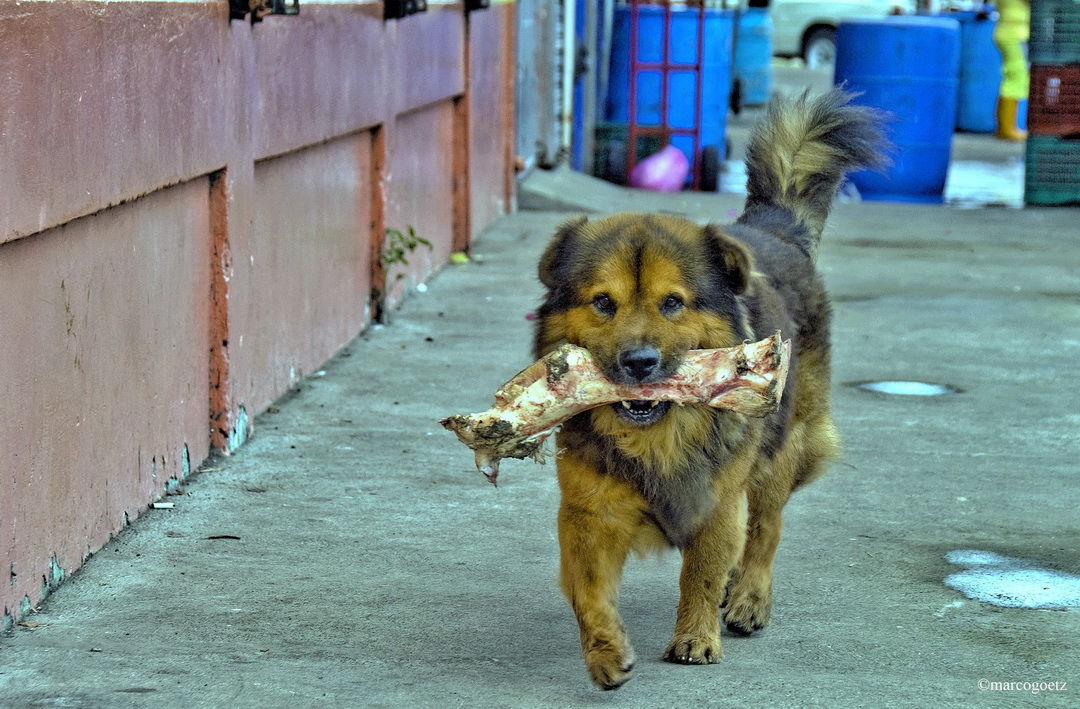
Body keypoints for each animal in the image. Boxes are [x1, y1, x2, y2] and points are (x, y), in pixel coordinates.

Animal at [531, 87, 885, 687]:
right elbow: (588, 591)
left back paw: (748, 598)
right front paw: (605, 652)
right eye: (603, 302)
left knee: (766, 529)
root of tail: (775, 231)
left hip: (780, 452)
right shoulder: (586, 512)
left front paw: (696, 638)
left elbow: (700, 571)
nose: (640, 363)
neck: (659, 435)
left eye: (673, 303)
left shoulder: (720, 501)